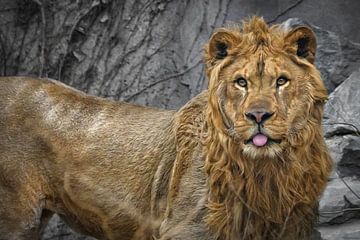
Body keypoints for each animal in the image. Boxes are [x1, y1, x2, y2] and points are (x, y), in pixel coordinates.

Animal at [0, 17, 332, 240]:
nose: (258, 115)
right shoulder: (185, 228)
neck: (268, 172)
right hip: (17, 216)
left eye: (281, 81)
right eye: (241, 82)